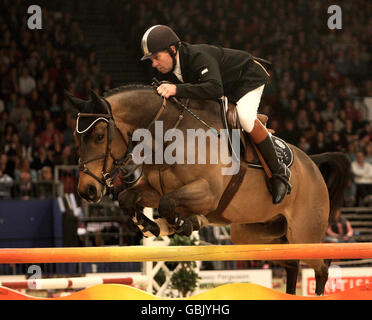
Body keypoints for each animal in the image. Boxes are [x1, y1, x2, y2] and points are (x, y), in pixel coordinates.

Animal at [68, 85, 350, 296]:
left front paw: (184, 223)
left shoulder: (207, 193)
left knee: (322, 267)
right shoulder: (153, 189)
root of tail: (312, 163)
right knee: (291, 263)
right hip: (255, 234)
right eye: (75, 137)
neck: (170, 134)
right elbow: (130, 199)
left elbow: (168, 204)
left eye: (99, 136)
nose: (87, 191)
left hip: (304, 234)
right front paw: (152, 226)